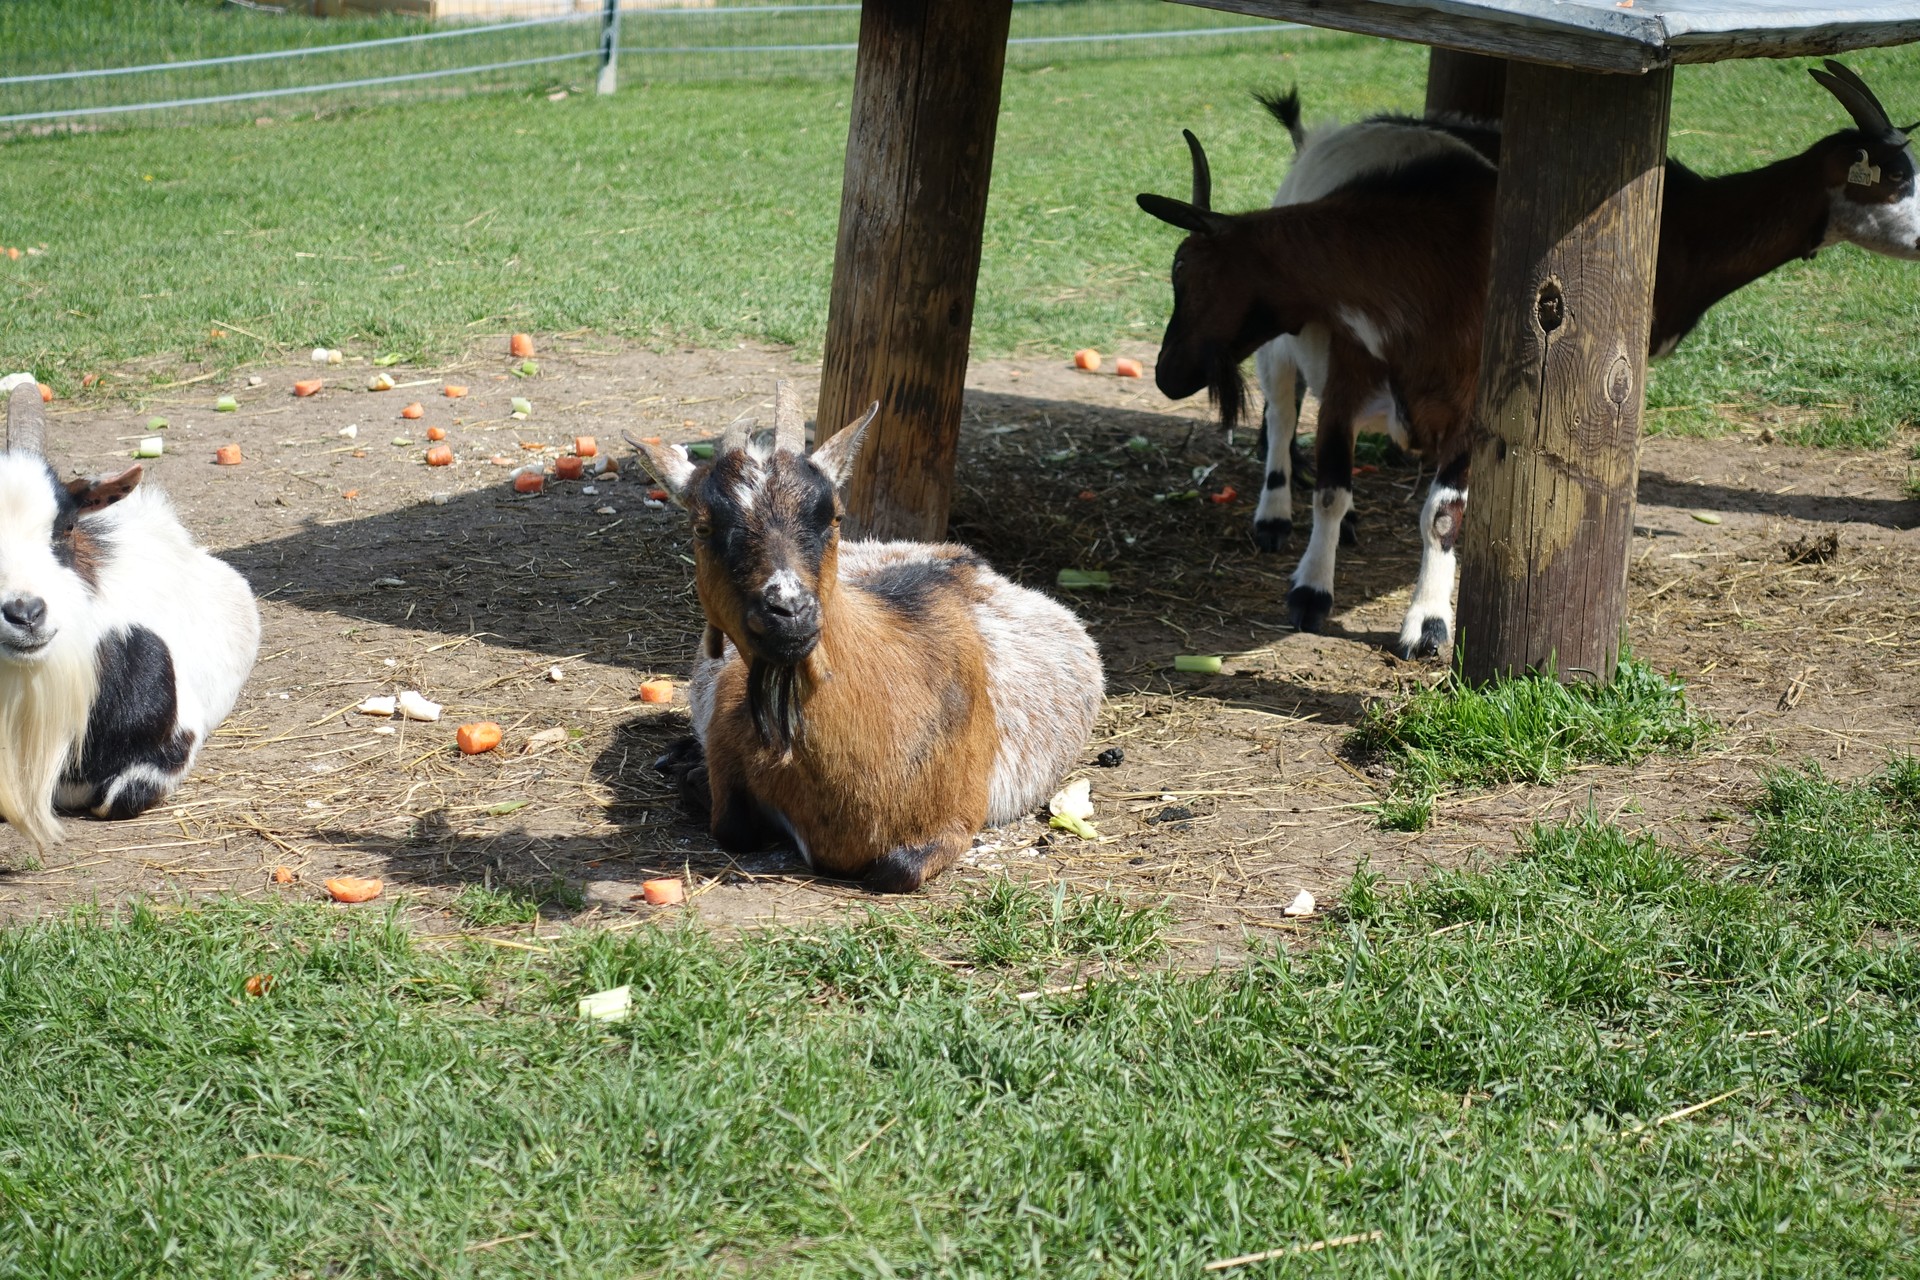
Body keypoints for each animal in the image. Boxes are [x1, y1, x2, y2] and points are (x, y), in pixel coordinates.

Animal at [629, 389, 1103, 893]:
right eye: (702, 527)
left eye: (834, 516)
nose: (789, 611)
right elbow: (732, 827)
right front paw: (694, 773)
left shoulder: (960, 817)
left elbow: (896, 870)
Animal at [1142, 60, 1920, 659]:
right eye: (1890, 180)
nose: (1167, 373)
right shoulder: (1347, 371)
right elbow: (1331, 487)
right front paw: (1310, 590)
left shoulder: (1474, 398)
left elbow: (1443, 513)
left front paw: (1429, 623)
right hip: (1284, 348)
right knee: (1280, 408)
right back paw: (1274, 513)